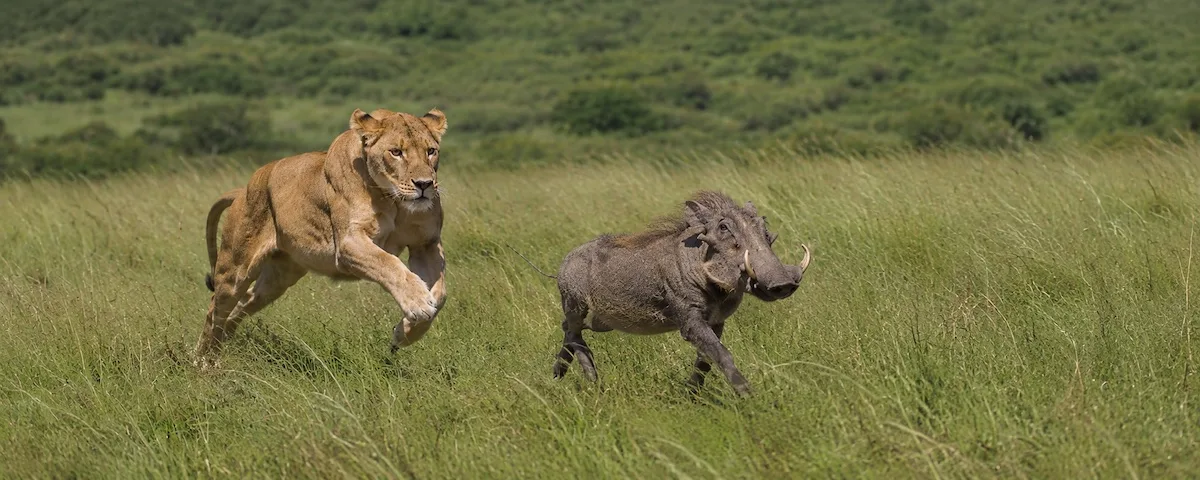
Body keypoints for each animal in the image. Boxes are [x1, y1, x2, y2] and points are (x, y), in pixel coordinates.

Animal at [194, 107, 449, 368]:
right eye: (396, 152)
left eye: (431, 151)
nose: (424, 184)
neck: (394, 200)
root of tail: (242, 191)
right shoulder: (348, 243)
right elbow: (390, 264)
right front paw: (418, 303)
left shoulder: (426, 244)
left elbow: (440, 295)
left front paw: (405, 332)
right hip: (235, 270)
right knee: (215, 310)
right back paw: (202, 361)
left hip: (277, 280)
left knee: (242, 305)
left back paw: (225, 343)